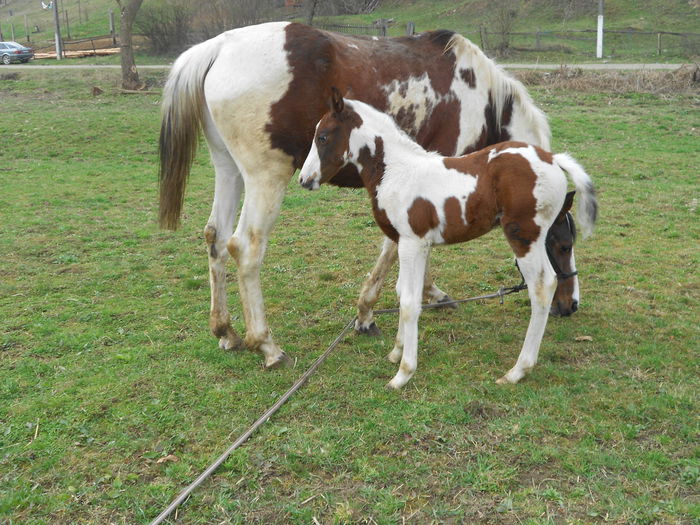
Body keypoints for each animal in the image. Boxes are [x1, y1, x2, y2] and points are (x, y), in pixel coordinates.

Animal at [159, 21, 552, 368]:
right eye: (560, 246)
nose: (564, 308)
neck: (481, 98)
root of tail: (219, 46)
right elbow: (393, 250)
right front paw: (367, 313)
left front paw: (428, 293)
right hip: (265, 179)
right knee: (245, 247)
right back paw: (267, 346)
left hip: (228, 171)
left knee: (215, 237)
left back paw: (226, 331)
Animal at [298, 88, 600, 386]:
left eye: (323, 137)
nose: (304, 180)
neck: (397, 172)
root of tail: (552, 159)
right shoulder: (408, 243)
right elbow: (402, 293)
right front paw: (396, 352)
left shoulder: (412, 243)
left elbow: (409, 302)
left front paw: (404, 373)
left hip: (524, 238)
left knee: (542, 286)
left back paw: (517, 371)